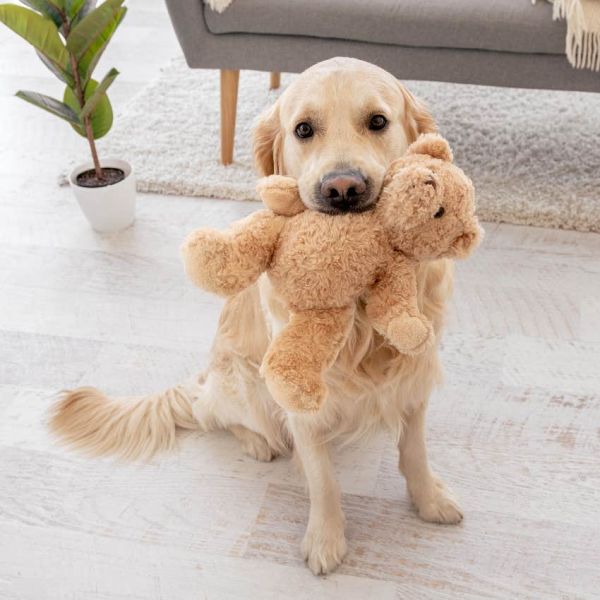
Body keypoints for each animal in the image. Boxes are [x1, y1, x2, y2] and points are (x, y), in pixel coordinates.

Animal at [52, 57, 464, 576]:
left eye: (377, 121)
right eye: (303, 129)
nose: (343, 188)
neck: (361, 315)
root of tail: (202, 376)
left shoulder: (415, 373)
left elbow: (414, 451)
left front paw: (430, 501)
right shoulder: (300, 396)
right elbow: (323, 478)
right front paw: (325, 539)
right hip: (247, 380)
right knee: (211, 414)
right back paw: (255, 441)